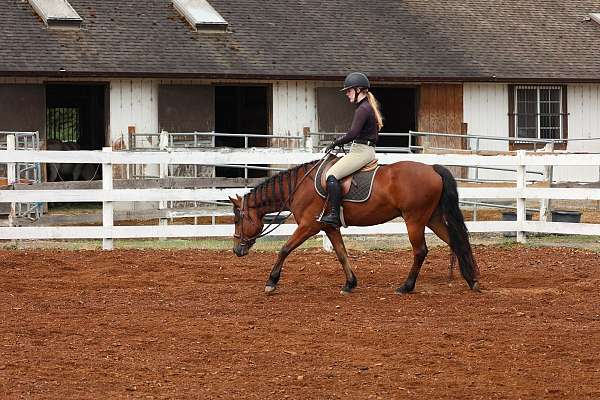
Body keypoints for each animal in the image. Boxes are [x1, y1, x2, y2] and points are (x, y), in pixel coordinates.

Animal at [230, 156, 478, 294]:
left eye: (237, 219)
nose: (236, 250)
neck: (299, 186)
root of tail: (432, 168)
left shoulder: (309, 226)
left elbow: (284, 249)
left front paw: (271, 282)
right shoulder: (329, 227)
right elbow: (341, 254)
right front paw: (350, 283)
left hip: (414, 220)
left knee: (420, 251)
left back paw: (406, 287)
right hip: (432, 218)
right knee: (457, 241)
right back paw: (472, 280)